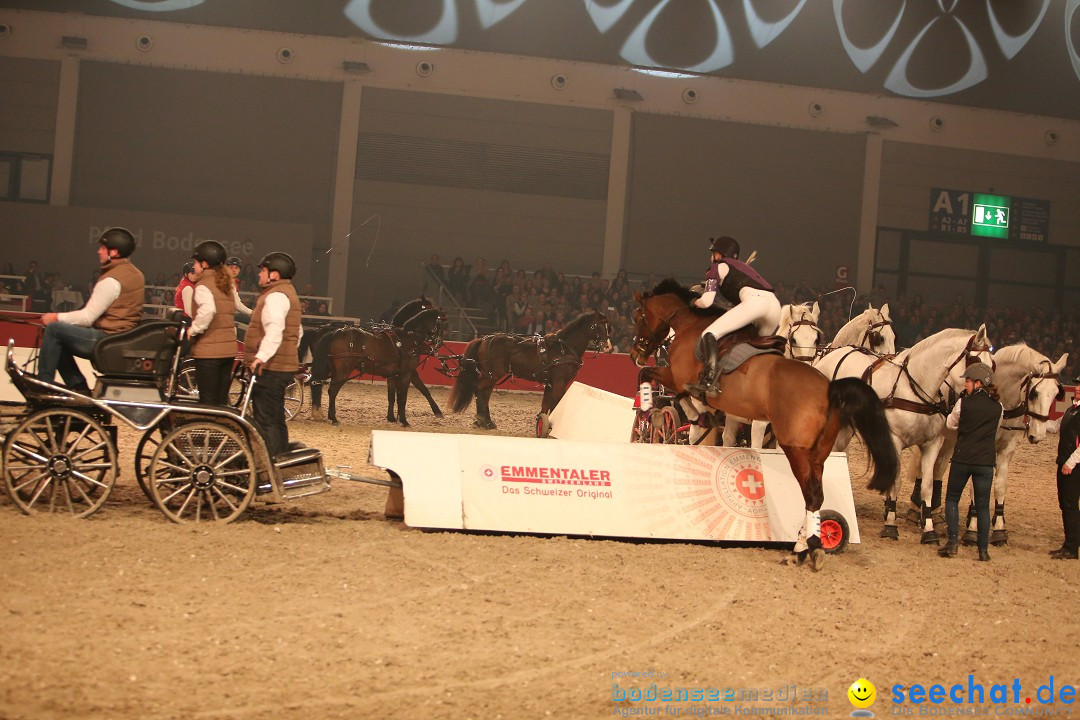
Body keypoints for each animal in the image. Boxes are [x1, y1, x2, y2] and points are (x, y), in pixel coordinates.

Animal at [308, 306, 447, 427]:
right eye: (442, 325)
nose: (439, 344)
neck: (409, 339)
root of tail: (335, 332)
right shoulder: (407, 373)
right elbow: (404, 397)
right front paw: (404, 420)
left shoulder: (394, 375)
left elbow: (395, 396)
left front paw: (392, 418)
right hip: (344, 370)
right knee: (332, 390)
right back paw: (333, 418)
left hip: (332, 369)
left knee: (320, 385)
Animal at [447, 310, 613, 433]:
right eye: (598, 326)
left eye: (608, 327)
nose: (608, 348)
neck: (564, 348)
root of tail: (484, 339)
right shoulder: (559, 382)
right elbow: (556, 403)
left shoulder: (550, 383)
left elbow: (546, 405)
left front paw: (541, 423)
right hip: (493, 374)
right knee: (480, 389)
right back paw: (483, 420)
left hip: (491, 374)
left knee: (484, 392)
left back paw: (485, 421)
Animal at [630, 280, 898, 569]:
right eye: (879, 337)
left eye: (638, 316)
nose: (635, 353)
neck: (689, 324)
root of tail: (830, 389)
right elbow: (675, 394)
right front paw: (687, 413)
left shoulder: (678, 377)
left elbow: (653, 378)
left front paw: (657, 408)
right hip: (817, 453)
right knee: (814, 494)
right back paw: (809, 544)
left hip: (795, 449)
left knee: (810, 493)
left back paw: (803, 549)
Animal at [812, 325, 989, 539]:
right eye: (976, 361)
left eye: (993, 363)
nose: (991, 397)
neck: (915, 389)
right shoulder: (894, 440)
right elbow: (896, 482)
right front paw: (890, 525)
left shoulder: (932, 444)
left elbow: (927, 486)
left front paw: (929, 530)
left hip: (845, 429)